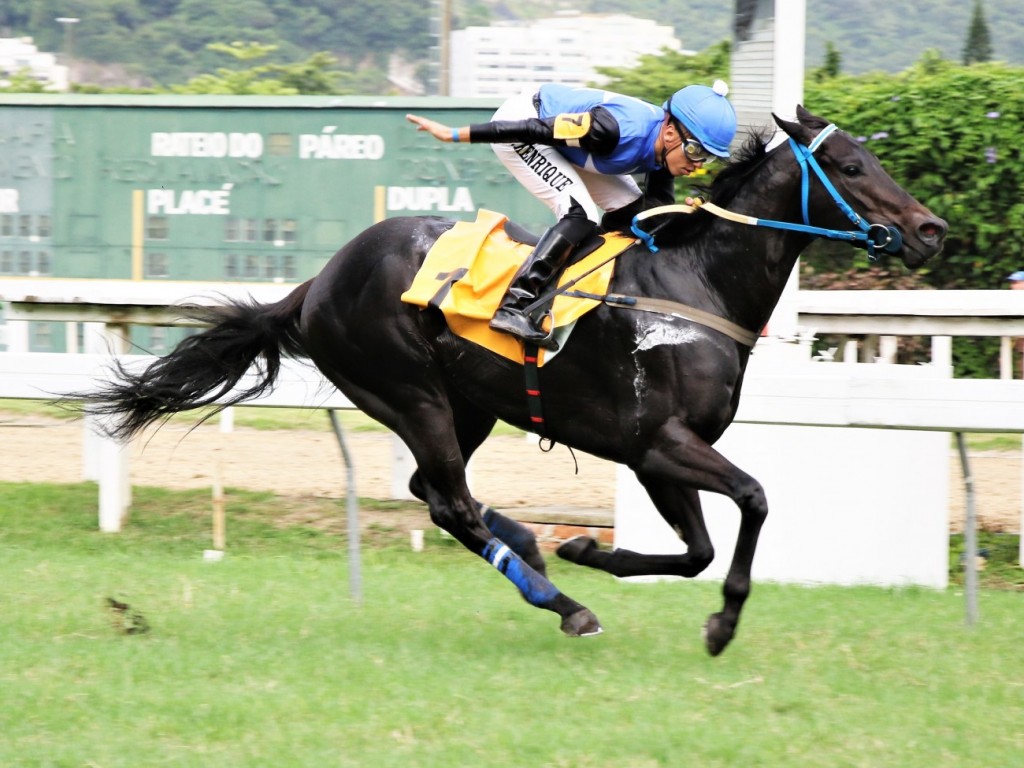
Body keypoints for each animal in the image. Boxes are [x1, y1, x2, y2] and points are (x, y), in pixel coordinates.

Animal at [79, 108, 942, 655]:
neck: (695, 283)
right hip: (408, 391)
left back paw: (532, 549)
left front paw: (590, 548)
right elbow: (755, 501)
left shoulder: (656, 452)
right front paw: (720, 623)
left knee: (436, 494)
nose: (931, 230)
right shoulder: (660, 443)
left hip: (467, 407)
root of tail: (318, 282)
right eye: (852, 165)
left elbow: (695, 548)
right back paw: (564, 604)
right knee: (453, 503)